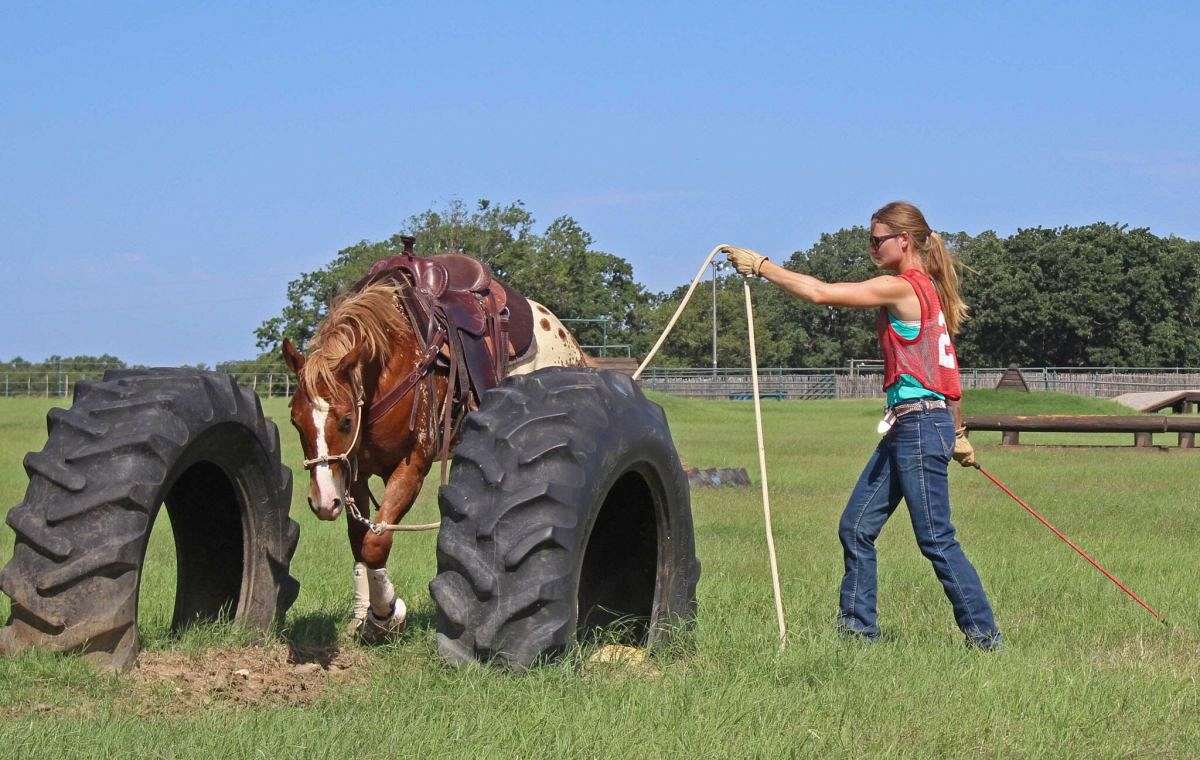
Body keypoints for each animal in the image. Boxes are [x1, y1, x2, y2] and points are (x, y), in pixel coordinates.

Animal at [280, 270, 588, 640]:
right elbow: (359, 541)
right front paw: (362, 615)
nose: (323, 502)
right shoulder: (355, 473)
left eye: (345, 420)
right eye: (295, 421)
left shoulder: (411, 467)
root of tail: (563, 334)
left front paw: (386, 614)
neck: (392, 365)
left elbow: (376, 542)